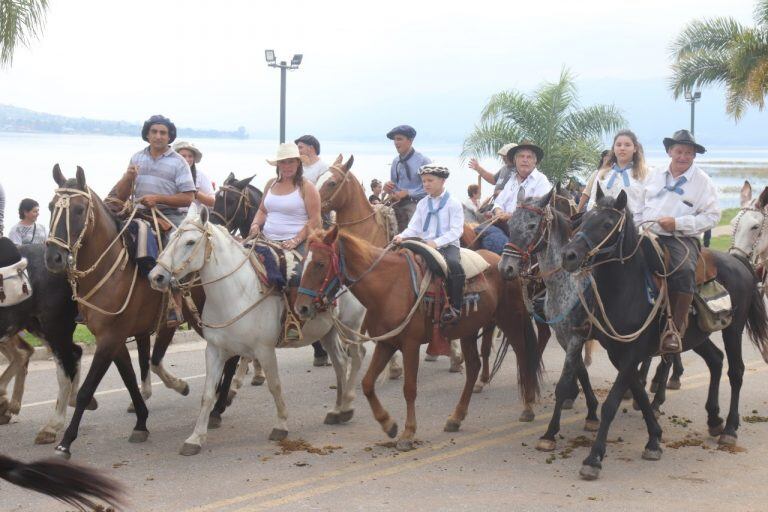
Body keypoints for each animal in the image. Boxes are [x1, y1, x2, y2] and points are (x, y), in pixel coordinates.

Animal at [43, 165, 201, 460]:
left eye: (79, 210)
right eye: (50, 207)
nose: (53, 258)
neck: (112, 270)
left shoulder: (109, 339)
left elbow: (86, 390)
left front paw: (66, 442)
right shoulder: (114, 339)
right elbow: (129, 380)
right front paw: (141, 423)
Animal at [152, 208, 368, 456]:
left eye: (190, 242)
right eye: (170, 239)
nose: (156, 276)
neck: (236, 292)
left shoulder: (264, 350)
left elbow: (274, 385)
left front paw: (281, 425)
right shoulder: (214, 351)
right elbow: (207, 394)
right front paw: (195, 438)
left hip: (351, 326)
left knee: (357, 357)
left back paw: (347, 406)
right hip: (328, 332)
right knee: (341, 364)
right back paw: (337, 410)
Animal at [294, 226, 540, 450]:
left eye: (320, 264)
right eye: (304, 262)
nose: (301, 308)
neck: (388, 287)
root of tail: (503, 264)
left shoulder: (410, 345)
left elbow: (409, 389)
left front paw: (408, 433)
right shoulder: (386, 343)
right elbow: (367, 384)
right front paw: (388, 424)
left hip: (510, 319)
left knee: (523, 354)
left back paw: (528, 407)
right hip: (468, 331)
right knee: (473, 367)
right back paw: (456, 417)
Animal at [560, 188, 768, 480]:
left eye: (607, 224)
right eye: (585, 219)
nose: (568, 255)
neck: (627, 289)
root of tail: (739, 262)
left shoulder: (632, 352)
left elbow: (612, 403)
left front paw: (594, 458)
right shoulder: (618, 353)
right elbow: (638, 391)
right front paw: (654, 439)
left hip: (733, 329)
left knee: (736, 371)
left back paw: (729, 429)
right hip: (696, 337)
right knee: (715, 360)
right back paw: (714, 419)